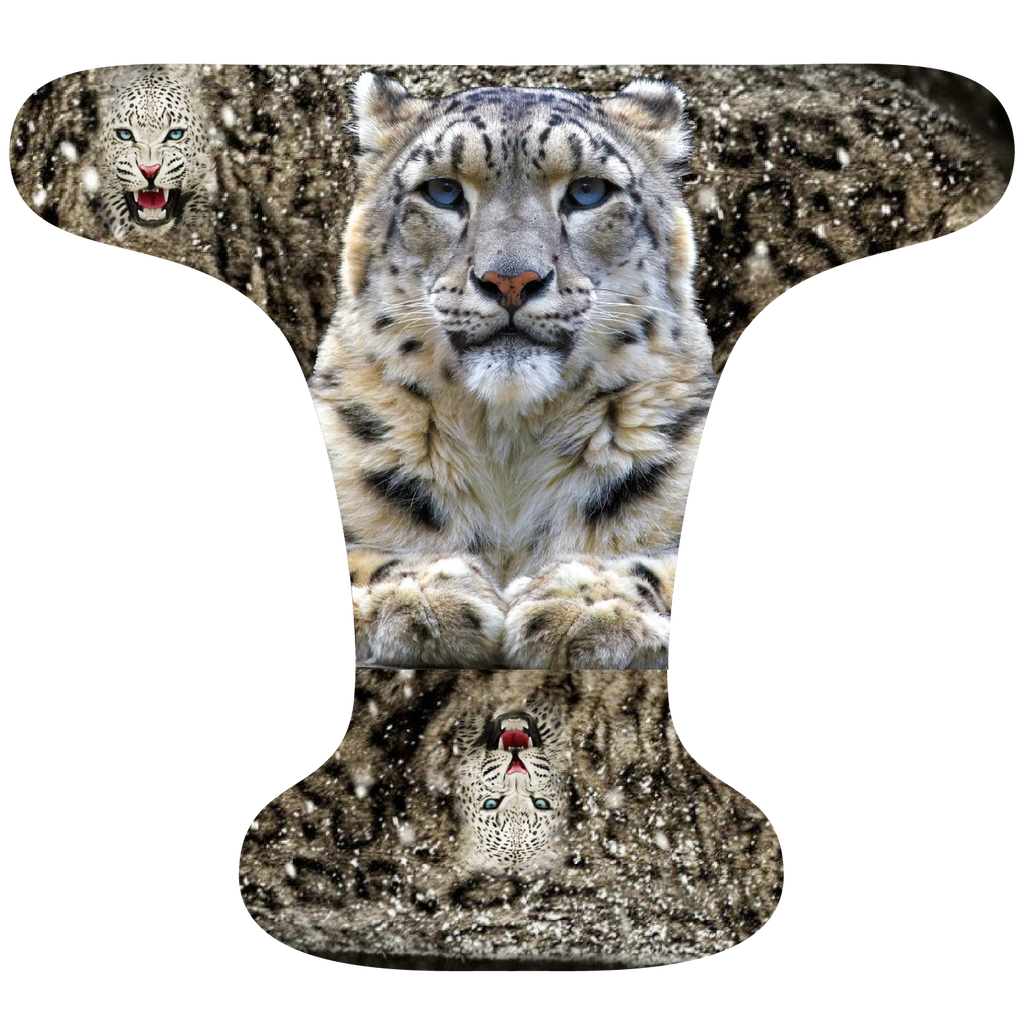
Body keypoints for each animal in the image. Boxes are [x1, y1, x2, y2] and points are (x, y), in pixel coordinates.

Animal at [306, 72, 721, 670]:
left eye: (588, 191)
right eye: (444, 191)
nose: (510, 280)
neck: (508, 443)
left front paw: (585, 600)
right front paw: (423, 588)